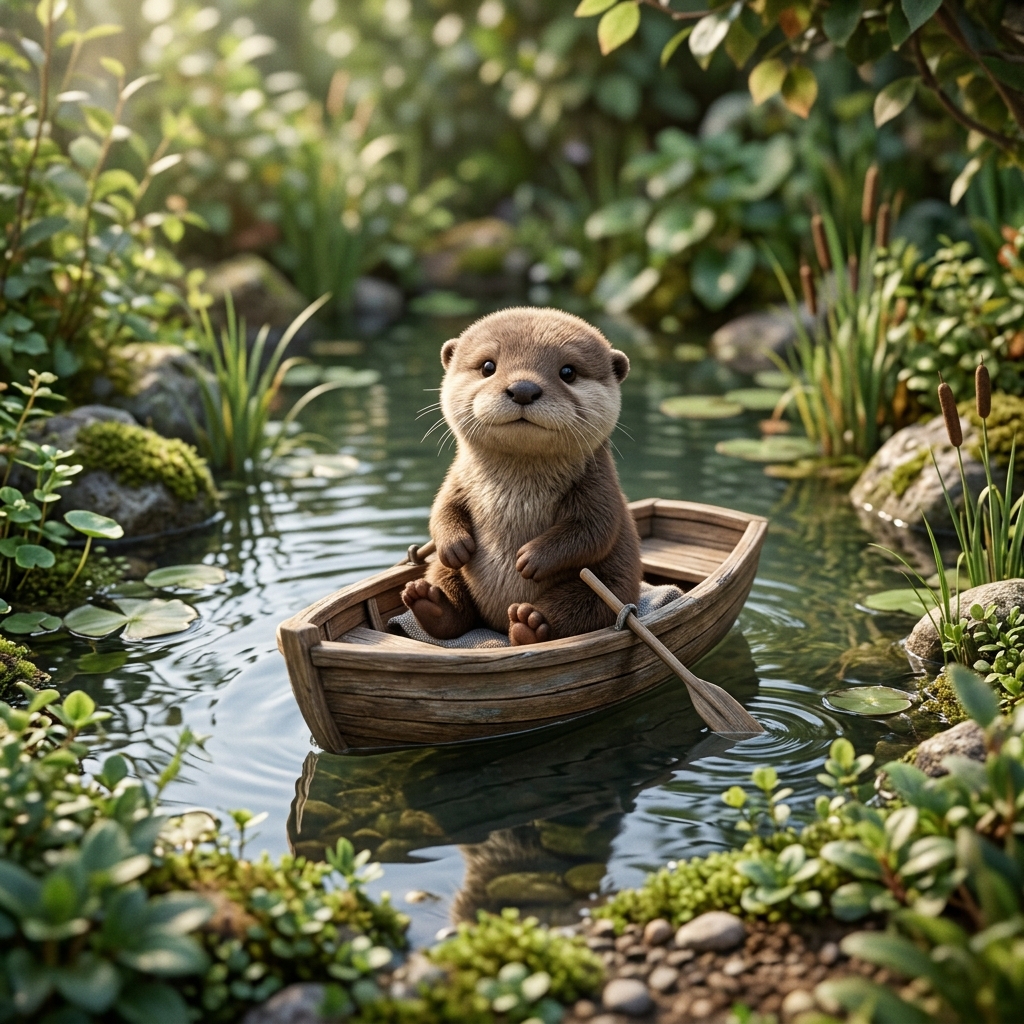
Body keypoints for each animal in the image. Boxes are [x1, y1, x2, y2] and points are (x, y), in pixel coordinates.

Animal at [400, 307, 642, 646]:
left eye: (568, 372)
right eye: (488, 366)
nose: (524, 389)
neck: (518, 489)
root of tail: (498, 624)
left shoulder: (598, 485)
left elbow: (593, 529)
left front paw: (531, 558)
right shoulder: (456, 480)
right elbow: (441, 510)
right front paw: (454, 545)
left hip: (606, 587)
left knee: (579, 609)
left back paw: (529, 624)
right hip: (444, 574)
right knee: (449, 597)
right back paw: (430, 602)